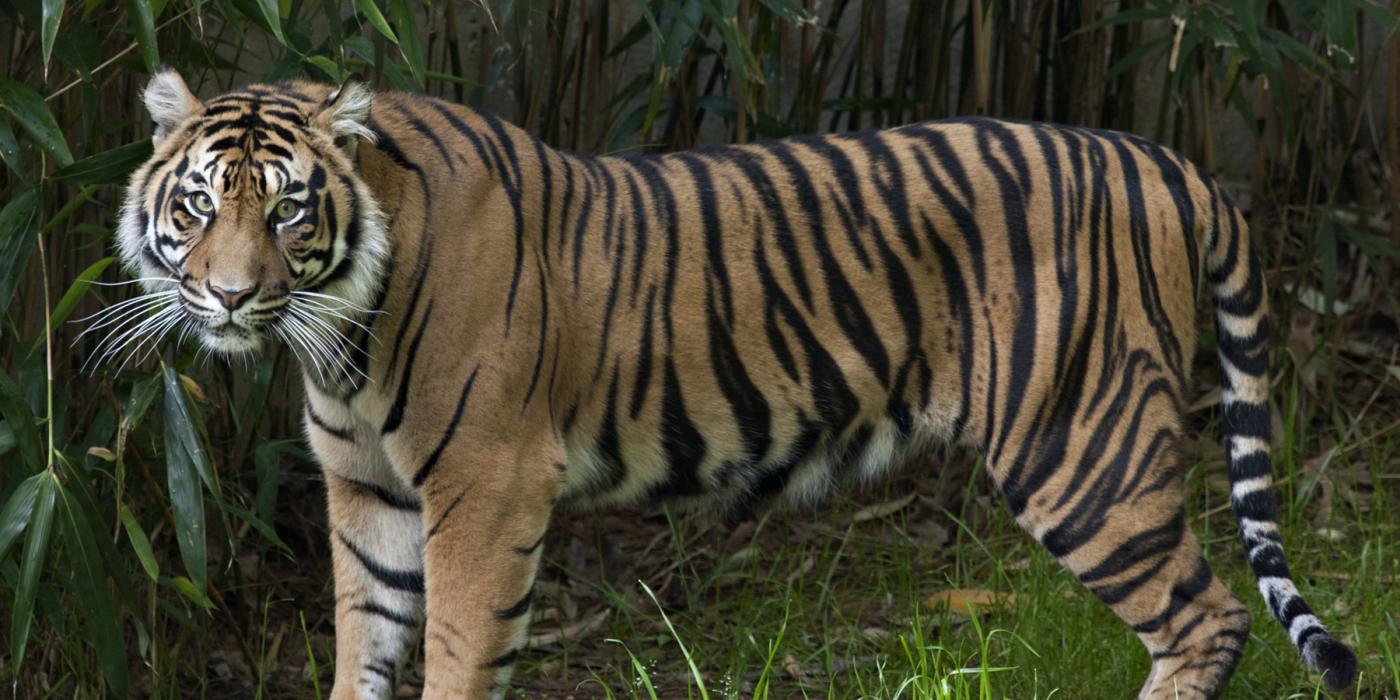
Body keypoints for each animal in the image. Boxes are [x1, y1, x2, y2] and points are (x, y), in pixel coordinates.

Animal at [109, 66, 1355, 700]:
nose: (229, 296)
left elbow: (457, 654)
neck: (337, 332)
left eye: (287, 210)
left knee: (1203, 618)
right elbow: (364, 645)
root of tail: (1166, 159)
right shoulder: (369, 493)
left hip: (1078, 443)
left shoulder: (485, 489)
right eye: (199, 204)